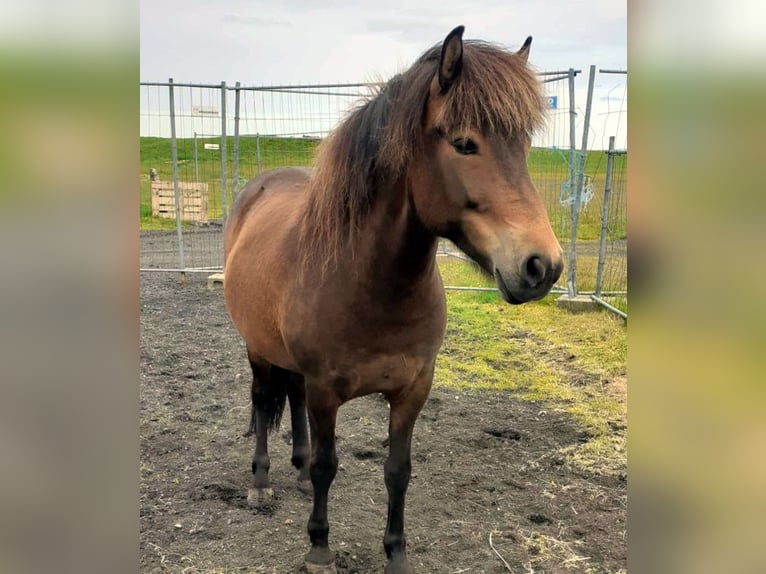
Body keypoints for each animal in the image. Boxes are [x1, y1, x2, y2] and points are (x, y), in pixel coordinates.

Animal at [222, 24, 564, 572]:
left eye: (524, 145)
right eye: (464, 143)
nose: (542, 266)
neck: (372, 287)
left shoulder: (413, 388)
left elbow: (397, 470)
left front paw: (396, 553)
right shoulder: (325, 389)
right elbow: (328, 464)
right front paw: (319, 546)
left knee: (291, 397)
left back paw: (295, 472)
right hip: (257, 348)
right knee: (262, 399)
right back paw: (261, 481)